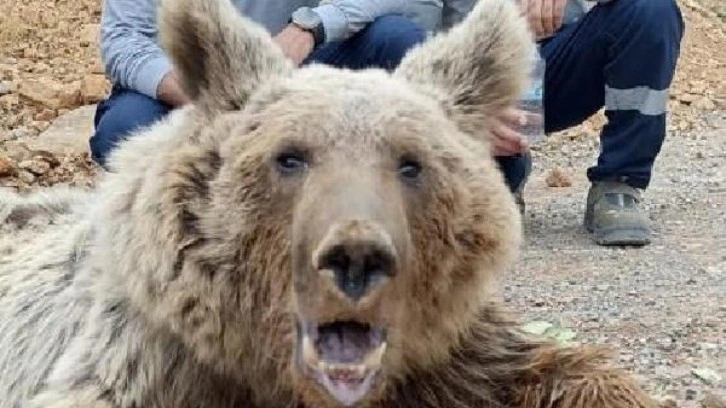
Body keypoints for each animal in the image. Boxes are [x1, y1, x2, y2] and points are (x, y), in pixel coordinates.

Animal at [0, 0, 660, 406]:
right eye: (290, 157)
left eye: (410, 163)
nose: (357, 256)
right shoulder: (160, 361)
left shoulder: (446, 354)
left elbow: (556, 366)